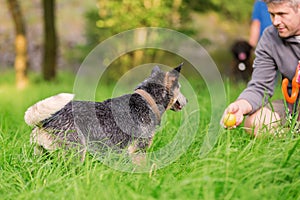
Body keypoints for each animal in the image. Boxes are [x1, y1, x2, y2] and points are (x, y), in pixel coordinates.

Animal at [24, 63, 188, 162]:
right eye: (179, 87)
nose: (187, 99)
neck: (147, 100)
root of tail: (45, 121)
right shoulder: (138, 150)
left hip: (39, 154)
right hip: (76, 152)